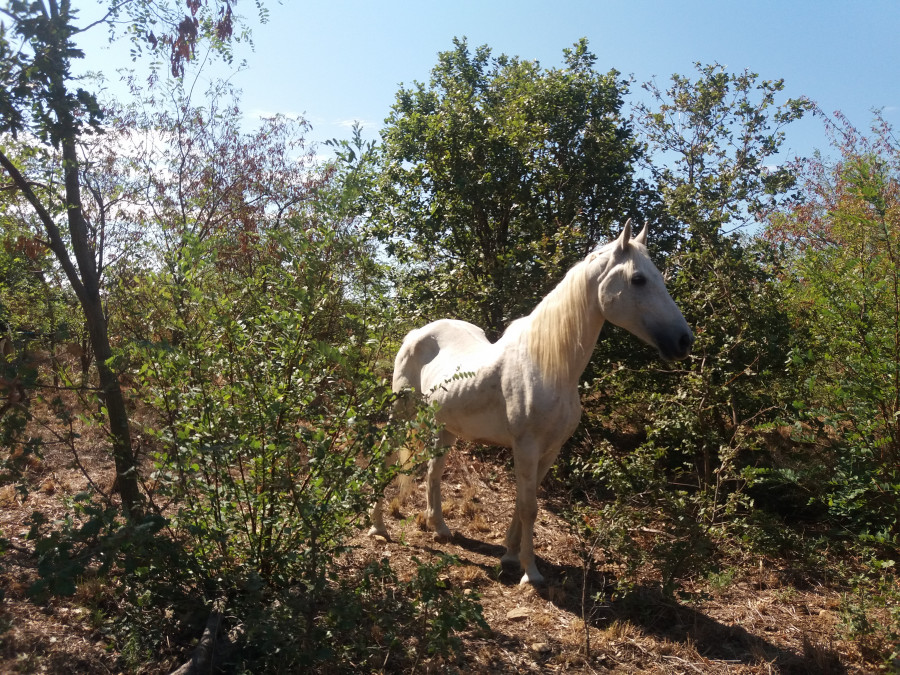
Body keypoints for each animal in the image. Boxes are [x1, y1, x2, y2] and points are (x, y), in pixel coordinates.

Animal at [370, 222, 692, 588]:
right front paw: (531, 572)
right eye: (638, 279)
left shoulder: (549, 450)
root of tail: (417, 333)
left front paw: (510, 555)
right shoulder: (525, 446)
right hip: (402, 412)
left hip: (446, 425)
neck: (549, 366)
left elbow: (525, 502)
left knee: (433, 471)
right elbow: (529, 507)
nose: (684, 341)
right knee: (385, 459)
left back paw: (439, 528)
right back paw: (378, 527)